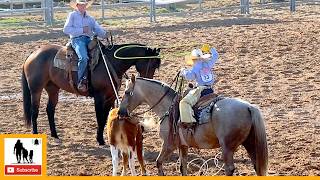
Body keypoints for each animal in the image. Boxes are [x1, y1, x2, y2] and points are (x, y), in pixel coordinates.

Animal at [21, 41, 161, 146]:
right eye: (152, 64)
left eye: (156, 66)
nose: (149, 82)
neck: (110, 62)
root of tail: (32, 54)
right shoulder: (99, 97)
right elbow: (99, 117)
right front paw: (100, 140)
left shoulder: (110, 97)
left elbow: (105, 117)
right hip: (36, 90)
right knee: (34, 111)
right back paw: (35, 135)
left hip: (53, 88)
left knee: (50, 109)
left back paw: (55, 135)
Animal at [119, 75, 268, 176]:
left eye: (126, 92)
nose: (120, 112)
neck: (168, 107)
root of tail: (248, 107)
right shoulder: (182, 145)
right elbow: (183, 167)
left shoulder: (168, 144)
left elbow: (159, 162)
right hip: (250, 143)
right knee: (257, 166)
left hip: (227, 147)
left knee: (229, 169)